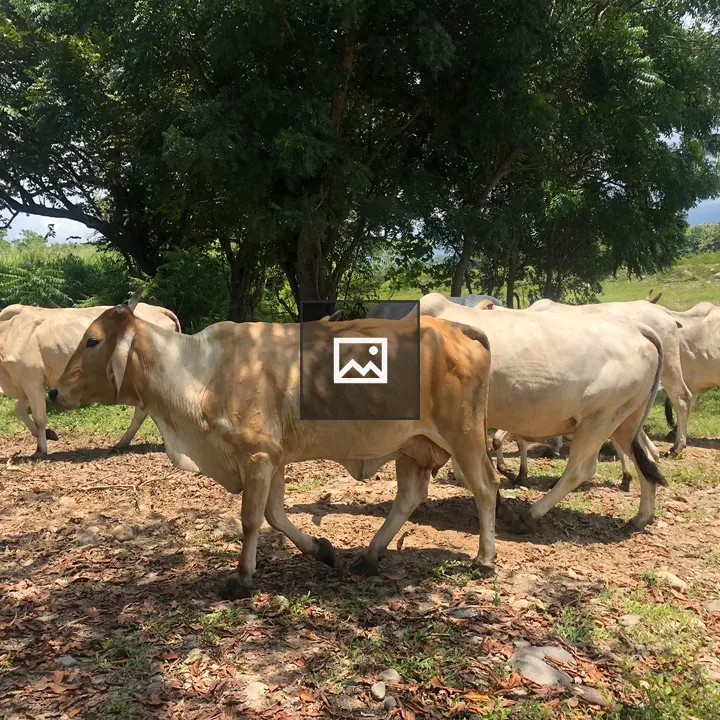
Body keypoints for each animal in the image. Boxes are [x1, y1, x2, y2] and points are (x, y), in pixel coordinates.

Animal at [0, 301, 180, 457]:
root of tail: (160, 310)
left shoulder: (32, 379)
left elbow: (39, 418)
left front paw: (40, 450)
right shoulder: (25, 385)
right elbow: (19, 411)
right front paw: (49, 434)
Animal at [49, 298, 499, 599]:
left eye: (92, 341)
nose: (54, 391)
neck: (201, 372)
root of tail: (458, 329)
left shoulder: (257, 457)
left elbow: (251, 519)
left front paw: (241, 578)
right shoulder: (274, 459)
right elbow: (274, 515)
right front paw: (321, 550)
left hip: (463, 435)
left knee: (486, 487)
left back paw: (485, 559)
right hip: (411, 446)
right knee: (409, 496)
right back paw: (370, 556)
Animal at [413, 293, 667, 532]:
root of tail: (638, 329)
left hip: (599, 419)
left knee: (580, 469)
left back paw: (530, 515)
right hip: (625, 420)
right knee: (647, 460)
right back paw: (641, 518)